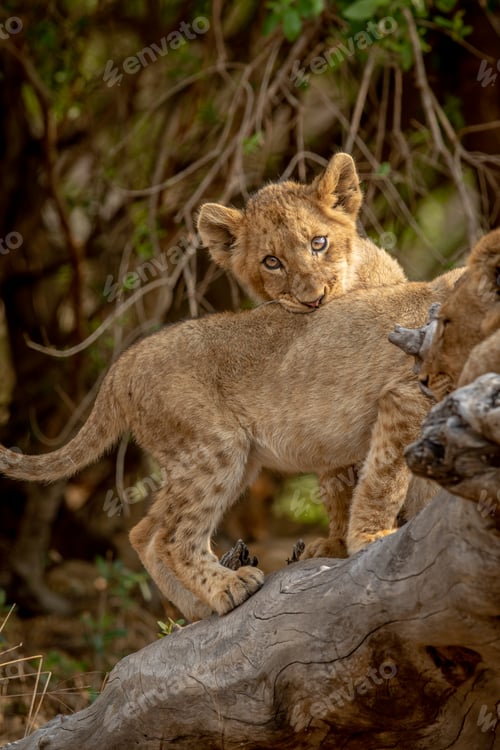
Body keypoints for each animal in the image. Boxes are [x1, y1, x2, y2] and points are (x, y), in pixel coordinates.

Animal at [0, 271, 462, 621]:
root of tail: (123, 363)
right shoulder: (406, 397)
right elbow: (386, 479)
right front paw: (372, 539)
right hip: (218, 446)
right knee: (175, 537)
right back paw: (229, 588)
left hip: (219, 460)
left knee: (146, 532)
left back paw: (199, 609)